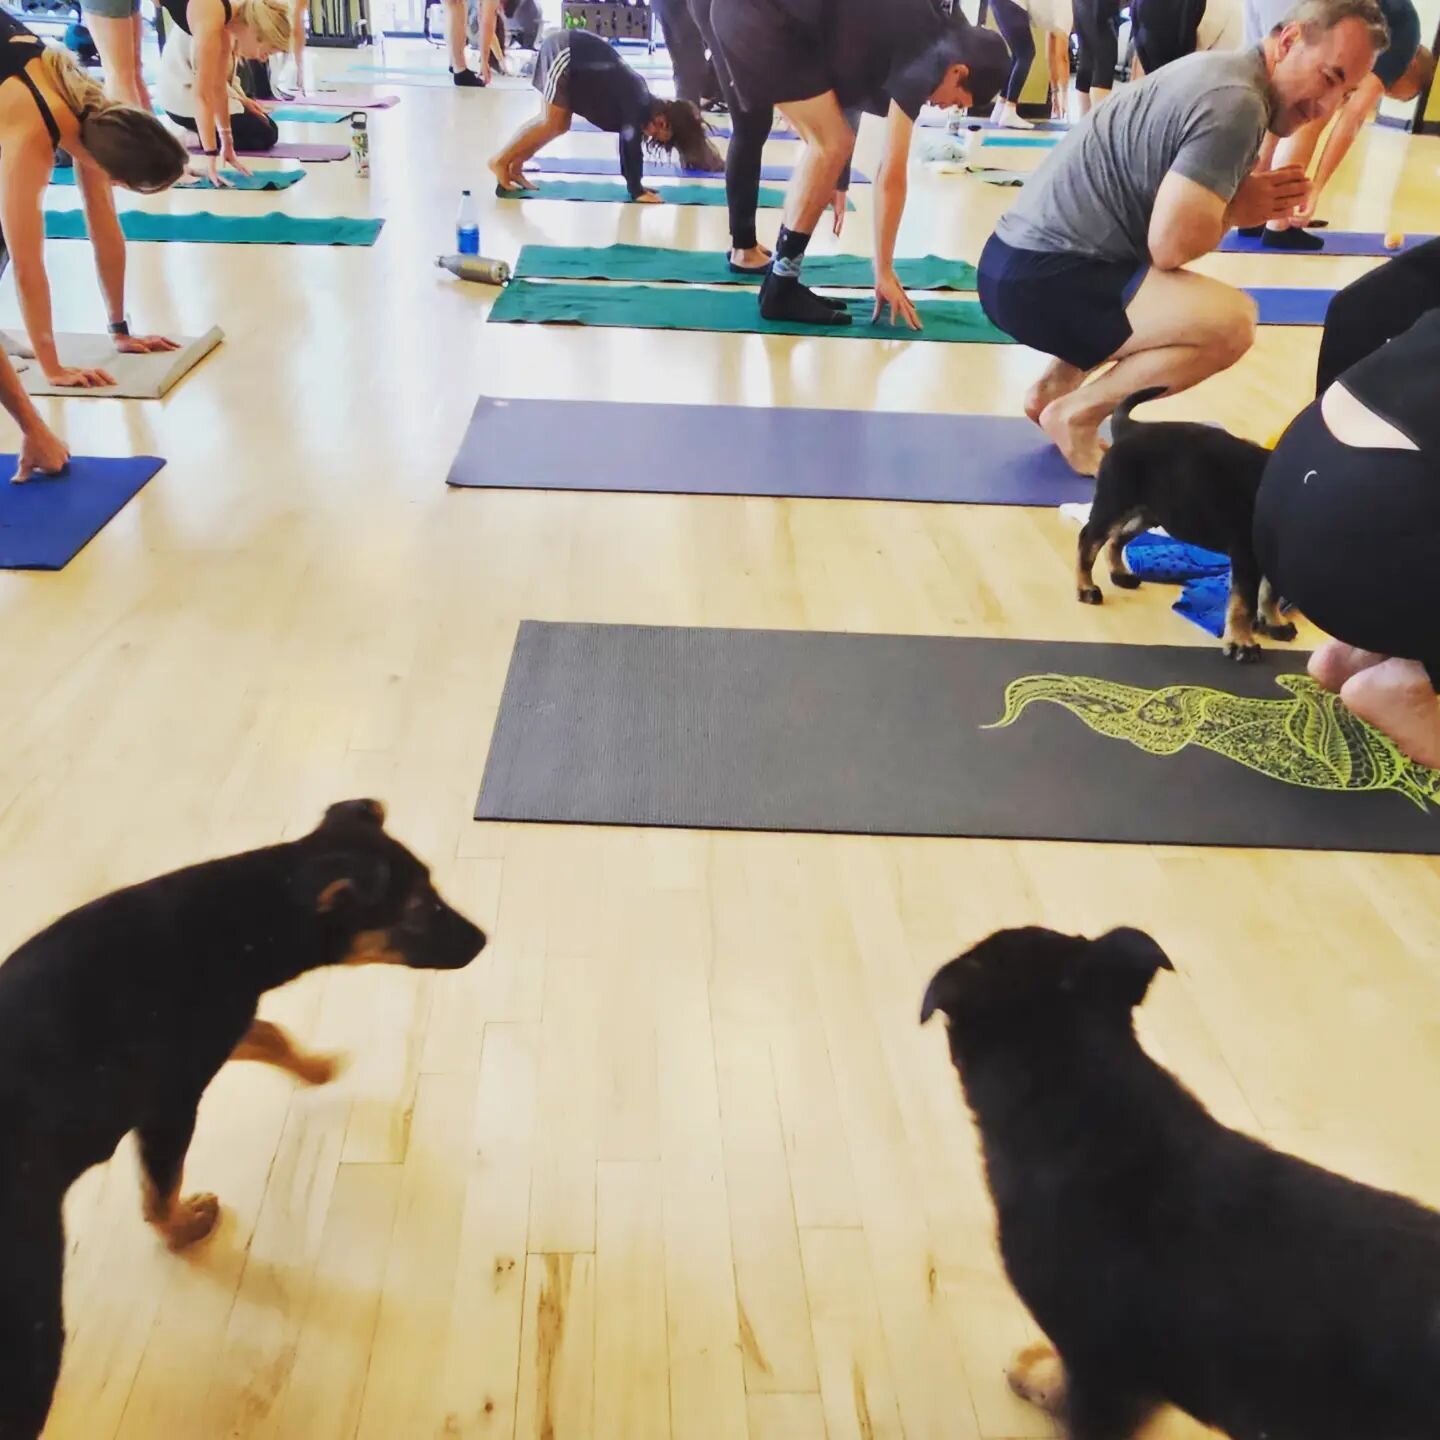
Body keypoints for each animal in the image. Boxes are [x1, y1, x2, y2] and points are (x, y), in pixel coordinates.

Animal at [0, 800, 486, 1440]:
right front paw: (183, 1228)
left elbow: (271, 1034)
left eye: (433, 888)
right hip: (32, 1333)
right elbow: (160, 1189)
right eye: (416, 911)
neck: (256, 906)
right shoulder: (170, 1101)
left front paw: (317, 1067)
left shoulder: (222, 1026)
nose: (483, 940)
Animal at [1082, 391, 1296, 665]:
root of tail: (1131, 428)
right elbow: (1243, 604)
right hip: (1114, 502)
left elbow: (1270, 594)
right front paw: (1242, 643)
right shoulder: (1245, 555)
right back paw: (1085, 589)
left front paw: (1274, 623)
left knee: (1116, 539)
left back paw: (1120, 575)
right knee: (1088, 540)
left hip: (1149, 513)